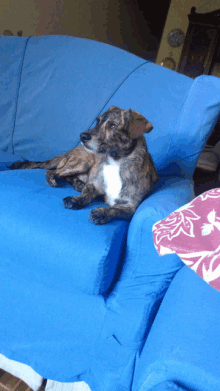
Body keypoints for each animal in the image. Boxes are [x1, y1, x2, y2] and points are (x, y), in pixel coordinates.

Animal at [10, 105, 158, 225]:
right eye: (98, 121)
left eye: (113, 126)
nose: (82, 136)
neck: (115, 161)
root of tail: (69, 151)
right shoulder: (94, 184)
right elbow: (87, 193)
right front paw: (76, 200)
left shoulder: (131, 206)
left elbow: (115, 209)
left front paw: (101, 212)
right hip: (82, 163)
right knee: (54, 172)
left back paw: (78, 184)